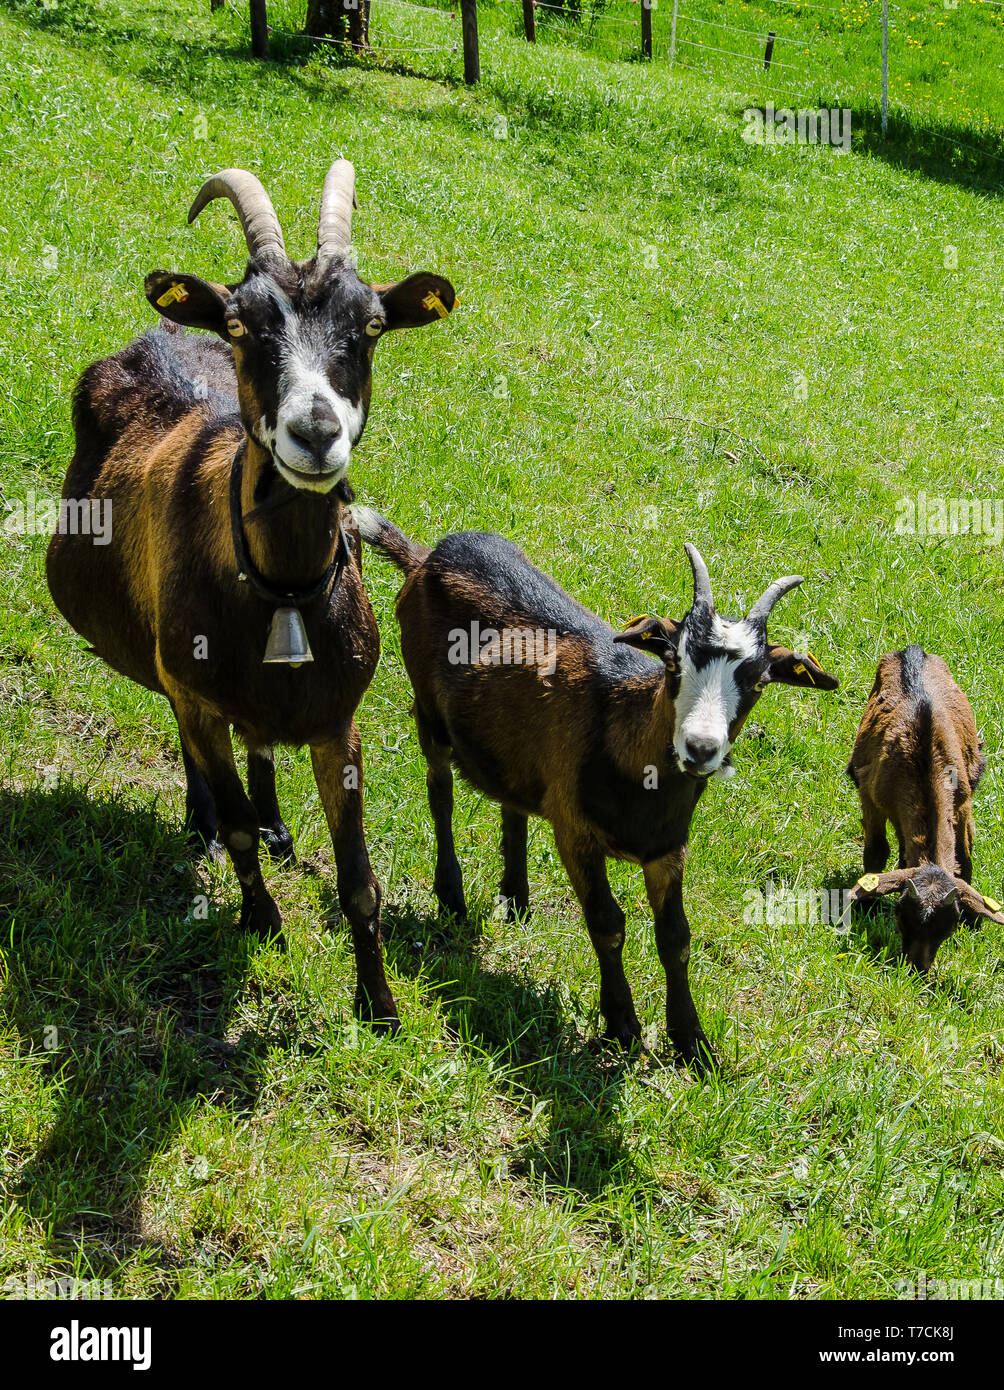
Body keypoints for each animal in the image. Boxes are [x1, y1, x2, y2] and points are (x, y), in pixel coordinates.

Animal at [45, 165, 453, 1034]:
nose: (317, 432)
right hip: (173, 673)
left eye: (371, 325)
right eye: (239, 323)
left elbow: (358, 880)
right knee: (203, 748)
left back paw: (276, 823)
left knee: (258, 747)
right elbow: (229, 818)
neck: (285, 591)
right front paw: (260, 919)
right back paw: (210, 821)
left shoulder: (339, 722)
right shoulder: (194, 689)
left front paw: (379, 1004)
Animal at [355, 517, 834, 1067]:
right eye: (674, 663)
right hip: (429, 714)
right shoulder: (575, 831)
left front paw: (691, 1042)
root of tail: (423, 557)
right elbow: (608, 923)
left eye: (757, 681)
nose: (700, 748)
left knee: (512, 803)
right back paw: (452, 897)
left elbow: (675, 937)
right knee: (441, 794)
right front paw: (623, 1026)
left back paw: (515, 898)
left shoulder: (668, 847)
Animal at [845, 644, 1001, 973]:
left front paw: (974, 920)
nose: (917, 968)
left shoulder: (962, 801)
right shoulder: (871, 794)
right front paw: (867, 905)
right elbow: (876, 850)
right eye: (900, 917)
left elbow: (964, 856)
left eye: (949, 928)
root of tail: (914, 649)